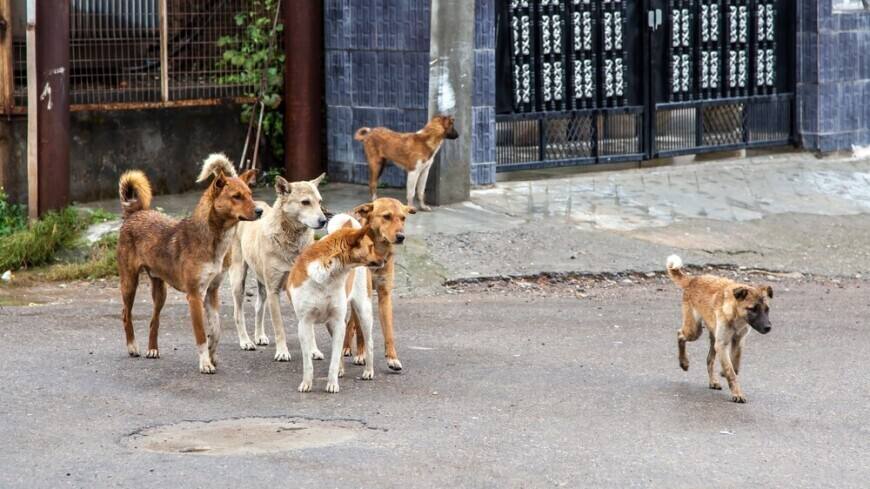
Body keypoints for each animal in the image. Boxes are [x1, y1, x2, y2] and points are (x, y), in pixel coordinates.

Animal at [118, 154, 258, 372]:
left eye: (250, 194)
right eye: (236, 196)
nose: (260, 211)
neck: (213, 238)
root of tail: (135, 213)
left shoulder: (212, 292)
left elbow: (216, 330)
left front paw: (212, 354)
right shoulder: (194, 296)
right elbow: (201, 335)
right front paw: (205, 363)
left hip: (160, 292)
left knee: (154, 320)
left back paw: (153, 349)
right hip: (129, 283)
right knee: (126, 314)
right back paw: (133, 347)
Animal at [230, 173, 328, 360]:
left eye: (320, 201)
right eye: (305, 202)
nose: (324, 221)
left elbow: (309, 326)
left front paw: (313, 350)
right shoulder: (273, 291)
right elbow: (279, 327)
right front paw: (282, 352)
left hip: (262, 285)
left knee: (258, 307)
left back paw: (259, 336)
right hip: (239, 280)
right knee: (238, 314)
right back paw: (245, 341)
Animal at [290, 214, 384, 392]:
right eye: (370, 246)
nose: (384, 260)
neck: (327, 274)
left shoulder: (339, 321)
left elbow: (333, 360)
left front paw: (332, 384)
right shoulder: (304, 323)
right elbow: (308, 362)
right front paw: (307, 383)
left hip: (363, 312)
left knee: (369, 343)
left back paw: (368, 371)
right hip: (331, 324)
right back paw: (342, 370)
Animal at [338, 196, 414, 368]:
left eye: (403, 218)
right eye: (386, 216)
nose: (401, 236)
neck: (377, 251)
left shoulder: (384, 294)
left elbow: (389, 330)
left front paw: (392, 358)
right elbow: (360, 330)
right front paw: (361, 354)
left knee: (351, 321)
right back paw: (347, 347)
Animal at [668, 254, 776, 402]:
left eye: (767, 309)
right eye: (752, 309)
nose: (768, 327)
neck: (736, 316)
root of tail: (694, 279)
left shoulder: (738, 341)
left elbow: (735, 364)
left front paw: (724, 373)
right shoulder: (722, 344)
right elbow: (731, 371)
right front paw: (737, 393)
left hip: (713, 338)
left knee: (709, 360)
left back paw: (713, 381)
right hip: (695, 330)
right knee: (680, 334)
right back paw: (684, 362)